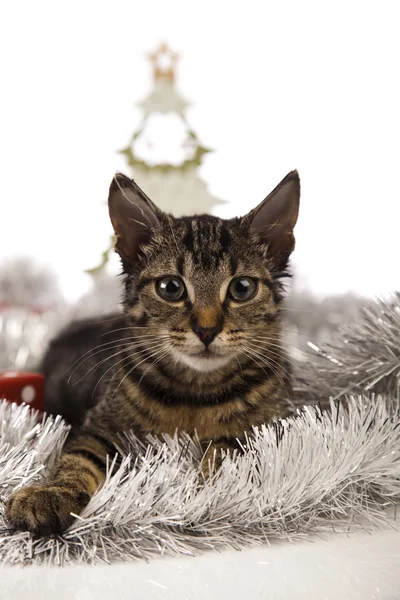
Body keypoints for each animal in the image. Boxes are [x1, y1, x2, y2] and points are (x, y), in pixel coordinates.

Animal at [5, 169, 300, 536]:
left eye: (242, 288)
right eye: (171, 288)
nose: (207, 329)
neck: (195, 395)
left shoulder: (274, 424)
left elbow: (230, 448)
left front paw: (207, 487)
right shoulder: (99, 429)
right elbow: (77, 459)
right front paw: (49, 493)